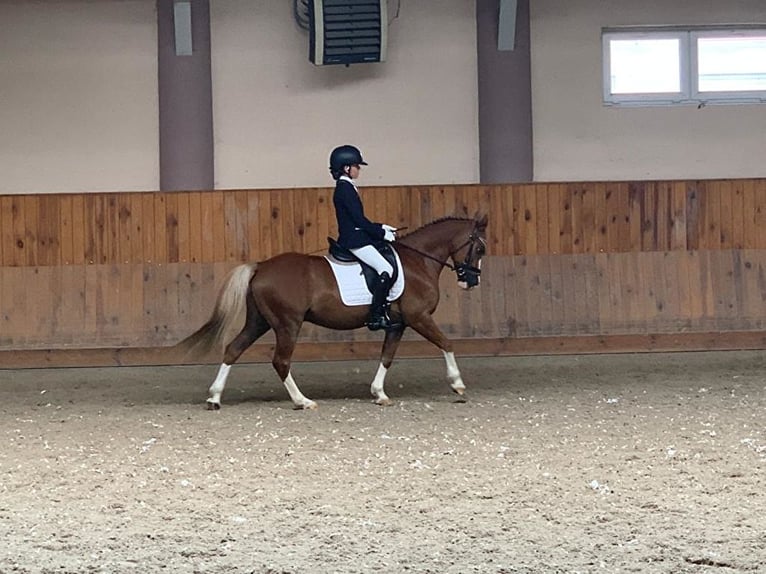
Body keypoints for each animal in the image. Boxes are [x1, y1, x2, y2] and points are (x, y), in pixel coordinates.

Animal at [180, 215, 488, 410]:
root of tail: (261, 266)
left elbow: (387, 357)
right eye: (479, 248)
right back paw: (302, 401)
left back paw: (215, 398)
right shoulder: (419, 317)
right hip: (287, 324)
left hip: (260, 322)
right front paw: (458, 385)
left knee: (234, 349)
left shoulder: (398, 324)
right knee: (281, 361)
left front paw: (379, 393)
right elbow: (447, 343)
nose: (471, 282)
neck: (418, 261)